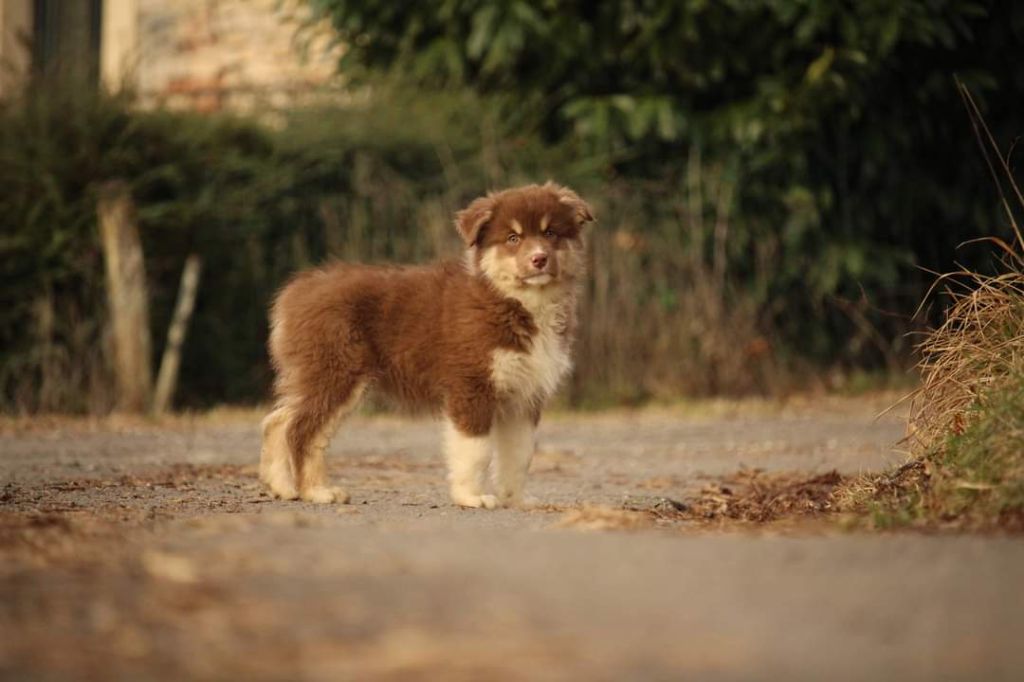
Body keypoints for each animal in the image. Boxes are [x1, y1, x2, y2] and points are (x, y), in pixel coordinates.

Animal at [259, 182, 594, 508]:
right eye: (513, 238)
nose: (539, 259)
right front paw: (471, 497)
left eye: (550, 233)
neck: (515, 299)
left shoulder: (524, 396)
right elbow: (477, 451)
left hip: (319, 374)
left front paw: (517, 500)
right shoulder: (472, 385)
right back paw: (316, 491)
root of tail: (296, 290)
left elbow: (520, 455)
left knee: (278, 421)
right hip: (336, 371)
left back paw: (283, 487)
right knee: (302, 431)